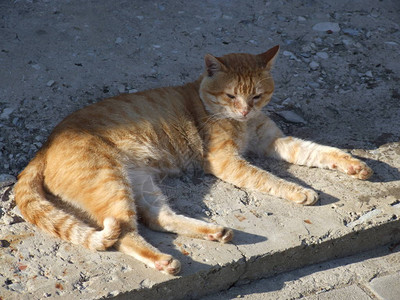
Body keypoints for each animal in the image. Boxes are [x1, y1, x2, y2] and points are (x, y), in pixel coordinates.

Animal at [14, 45, 372, 276]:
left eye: (257, 95)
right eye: (231, 95)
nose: (245, 110)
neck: (240, 123)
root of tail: (43, 148)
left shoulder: (274, 141)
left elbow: (316, 151)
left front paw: (354, 165)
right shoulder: (226, 161)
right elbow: (268, 178)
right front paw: (300, 191)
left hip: (138, 182)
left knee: (157, 218)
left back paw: (214, 232)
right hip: (110, 181)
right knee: (123, 233)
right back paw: (164, 261)